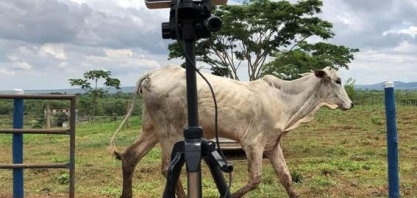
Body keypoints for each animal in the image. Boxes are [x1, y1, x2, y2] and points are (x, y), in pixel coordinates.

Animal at [109, 64, 352, 197]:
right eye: (337, 80)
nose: (350, 104)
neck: (283, 98)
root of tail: (154, 73)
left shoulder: (273, 145)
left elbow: (286, 177)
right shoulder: (253, 144)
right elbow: (255, 179)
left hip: (152, 130)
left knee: (130, 156)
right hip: (170, 133)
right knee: (166, 168)